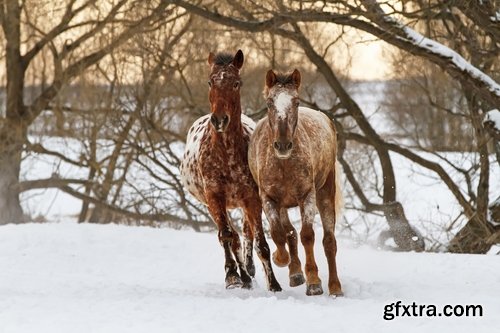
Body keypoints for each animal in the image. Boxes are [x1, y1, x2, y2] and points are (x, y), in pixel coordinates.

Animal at [180, 49, 282, 290]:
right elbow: (226, 235)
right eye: (210, 82)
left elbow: (261, 243)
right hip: (213, 204)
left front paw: (273, 284)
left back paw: (249, 271)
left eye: (236, 83)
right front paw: (233, 276)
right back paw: (242, 275)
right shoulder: (214, 196)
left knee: (246, 233)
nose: (219, 120)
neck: (226, 153)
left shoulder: (252, 198)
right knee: (232, 236)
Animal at [247, 68, 342, 296]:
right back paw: (295, 272)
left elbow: (307, 235)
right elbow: (278, 234)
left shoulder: (307, 195)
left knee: (329, 241)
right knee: (288, 232)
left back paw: (335, 286)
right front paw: (281, 260)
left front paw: (314, 282)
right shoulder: (269, 199)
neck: (284, 164)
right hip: (282, 204)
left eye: (296, 102)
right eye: (269, 102)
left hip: (326, 192)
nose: (283, 145)